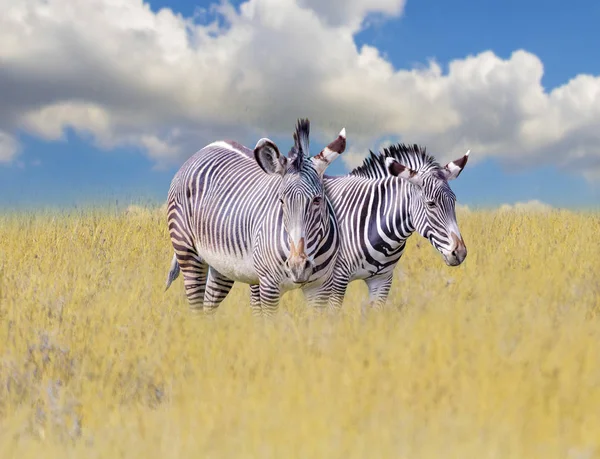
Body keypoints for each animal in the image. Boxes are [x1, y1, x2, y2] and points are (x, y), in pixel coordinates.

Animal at [164, 118, 346, 316]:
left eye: (317, 200)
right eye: (281, 201)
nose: (297, 267)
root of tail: (204, 149)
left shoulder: (321, 287)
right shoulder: (269, 285)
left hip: (222, 266)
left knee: (208, 306)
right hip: (187, 253)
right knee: (196, 307)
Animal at [168, 142, 468, 314]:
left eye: (454, 202)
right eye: (431, 204)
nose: (460, 253)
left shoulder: (383, 280)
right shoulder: (335, 278)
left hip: (224, 263)